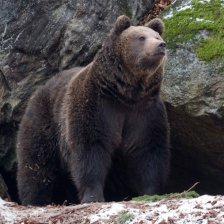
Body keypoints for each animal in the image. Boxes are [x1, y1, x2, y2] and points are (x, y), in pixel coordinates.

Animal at [16, 14, 170, 206]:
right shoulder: (96, 106)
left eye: (156, 36)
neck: (126, 92)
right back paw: (35, 199)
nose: (161, 45)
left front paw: (150, 193)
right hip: (44, 119)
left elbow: (147, 150)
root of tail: (41, 87)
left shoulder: (145, 112)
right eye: (141, 37)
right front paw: (92, 196)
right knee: (36, 162)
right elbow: (90, 149)